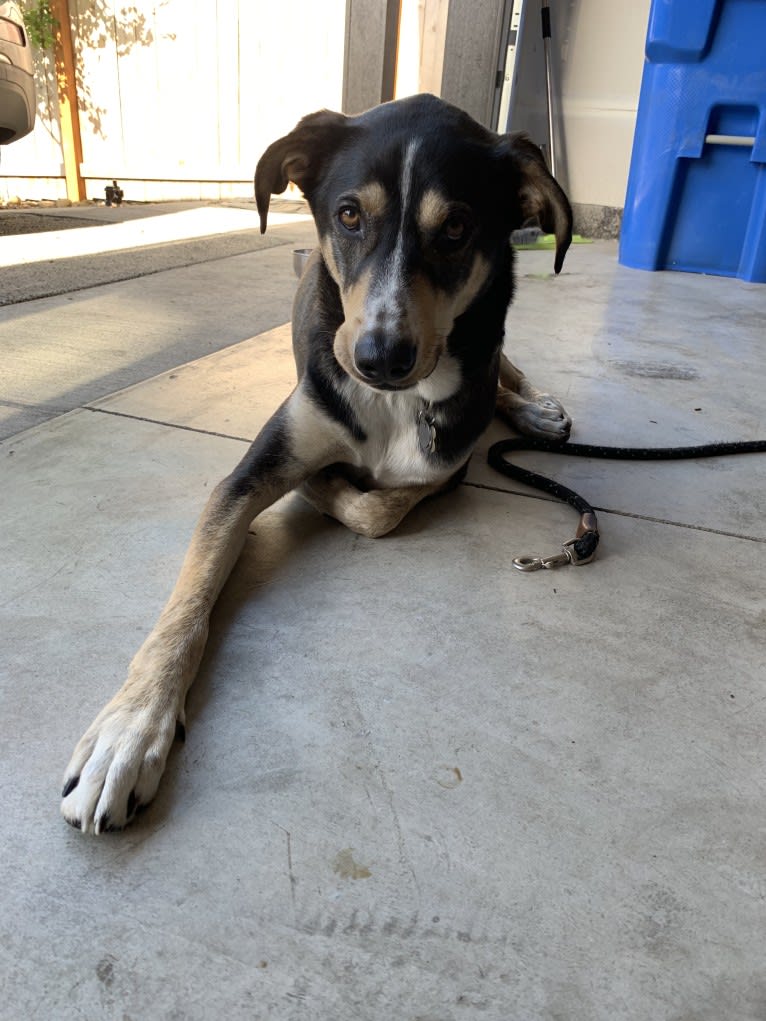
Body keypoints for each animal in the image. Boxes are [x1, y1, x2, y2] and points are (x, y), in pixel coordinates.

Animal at [60, 91, 571, 833]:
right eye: (349, 215)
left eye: (456, 228)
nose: (379, 357)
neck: (392, 402)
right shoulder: (249, 475)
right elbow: (185, 608)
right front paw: (128, 733)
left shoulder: (446, 463)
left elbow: (380, 506)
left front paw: (330, 485)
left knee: (507, 367)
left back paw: (537, 410)